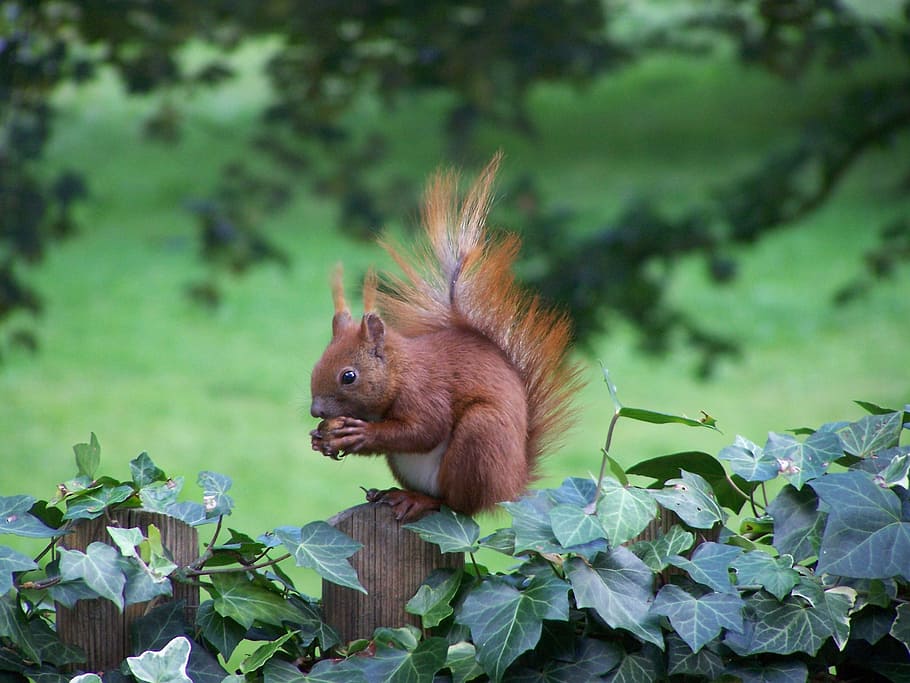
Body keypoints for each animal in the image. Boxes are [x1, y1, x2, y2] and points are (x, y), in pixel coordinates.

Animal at [309, 154, 583, 521]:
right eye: (315, 367)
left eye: (348, 376)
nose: (316, 411)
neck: (399, 371)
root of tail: (510, 487)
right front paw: (320, 439)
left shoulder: (426, 390)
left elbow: (424, 430)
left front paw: (361, 433)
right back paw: (393, 493)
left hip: (479, 440)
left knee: (457, 504)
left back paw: (421, 501)